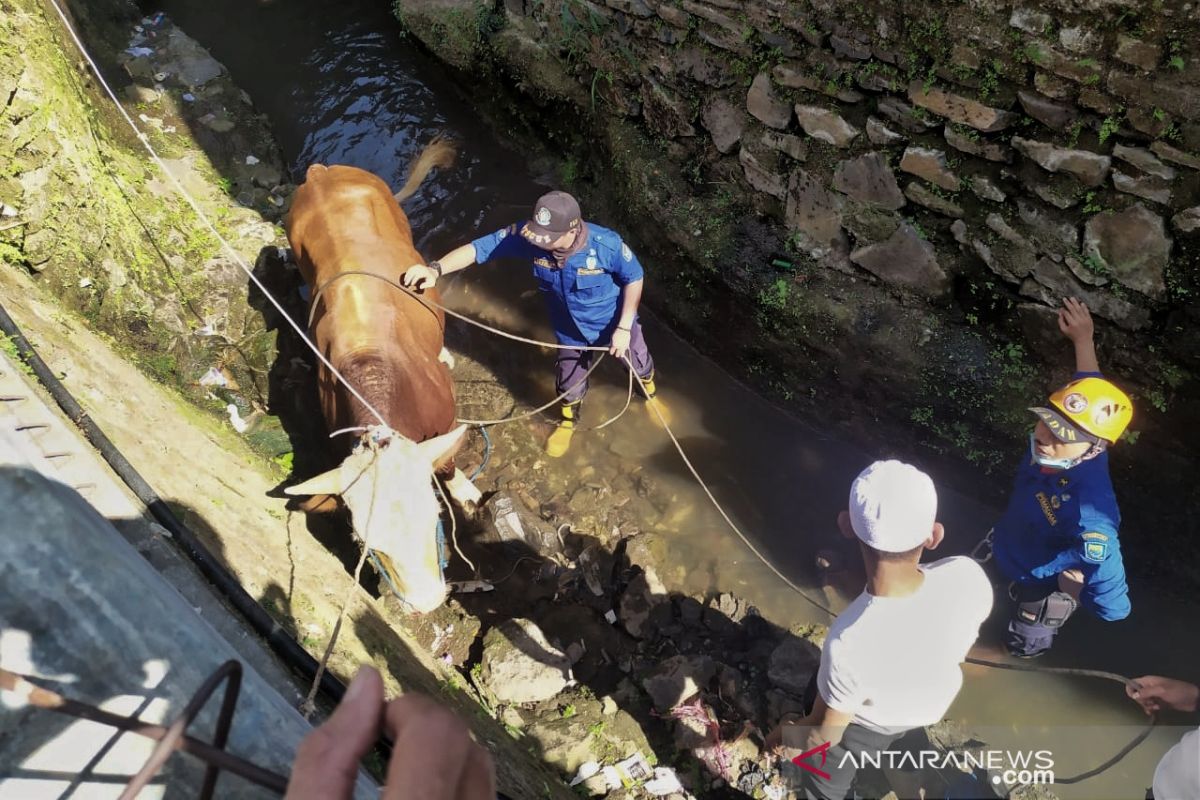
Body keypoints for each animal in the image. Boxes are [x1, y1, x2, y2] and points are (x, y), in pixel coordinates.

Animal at [283, 140, 480, 614]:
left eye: (433, 515)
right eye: (367, 541)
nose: (425, 602)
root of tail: (320, 173)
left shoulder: (446, 420)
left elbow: (448, 464)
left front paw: (465, 491)